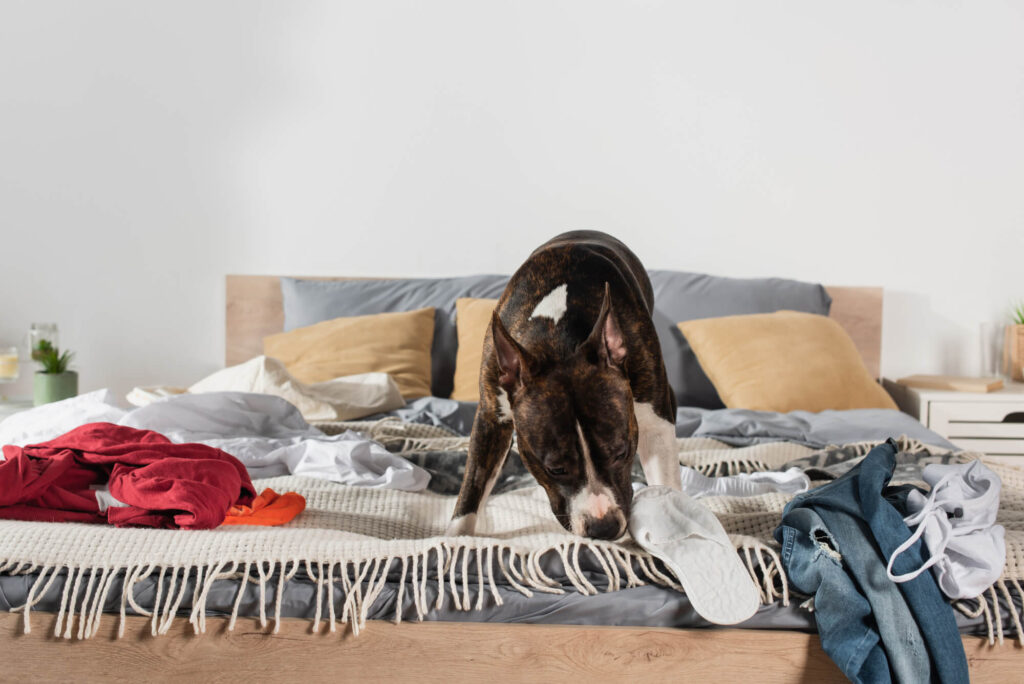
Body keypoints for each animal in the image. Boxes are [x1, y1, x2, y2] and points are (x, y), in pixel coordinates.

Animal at [448, 229, 679, 540]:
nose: (603, 527)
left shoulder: (656, 424)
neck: (558, 340)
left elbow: (667, 482)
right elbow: (472, 486)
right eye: (555, 469)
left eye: (621, 453)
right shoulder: (491, 419)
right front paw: (454, 537)